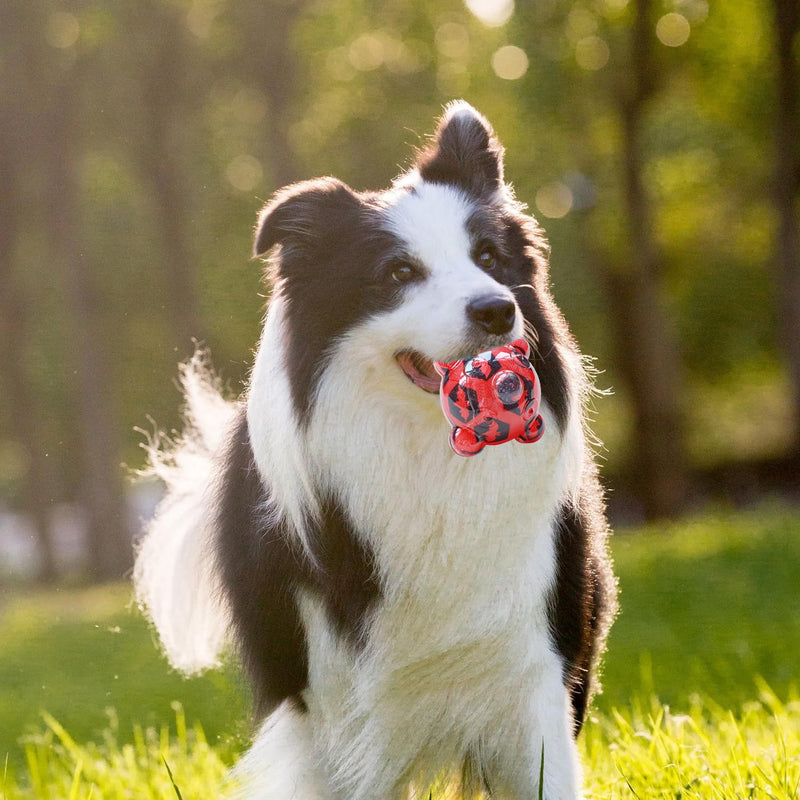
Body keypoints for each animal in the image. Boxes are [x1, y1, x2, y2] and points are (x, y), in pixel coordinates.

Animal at [134, 101, 616, 800]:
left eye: (489, 257)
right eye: (399, 272)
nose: (497, 310)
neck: (427, 460)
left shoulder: (536, 659)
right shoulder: (337, 698)